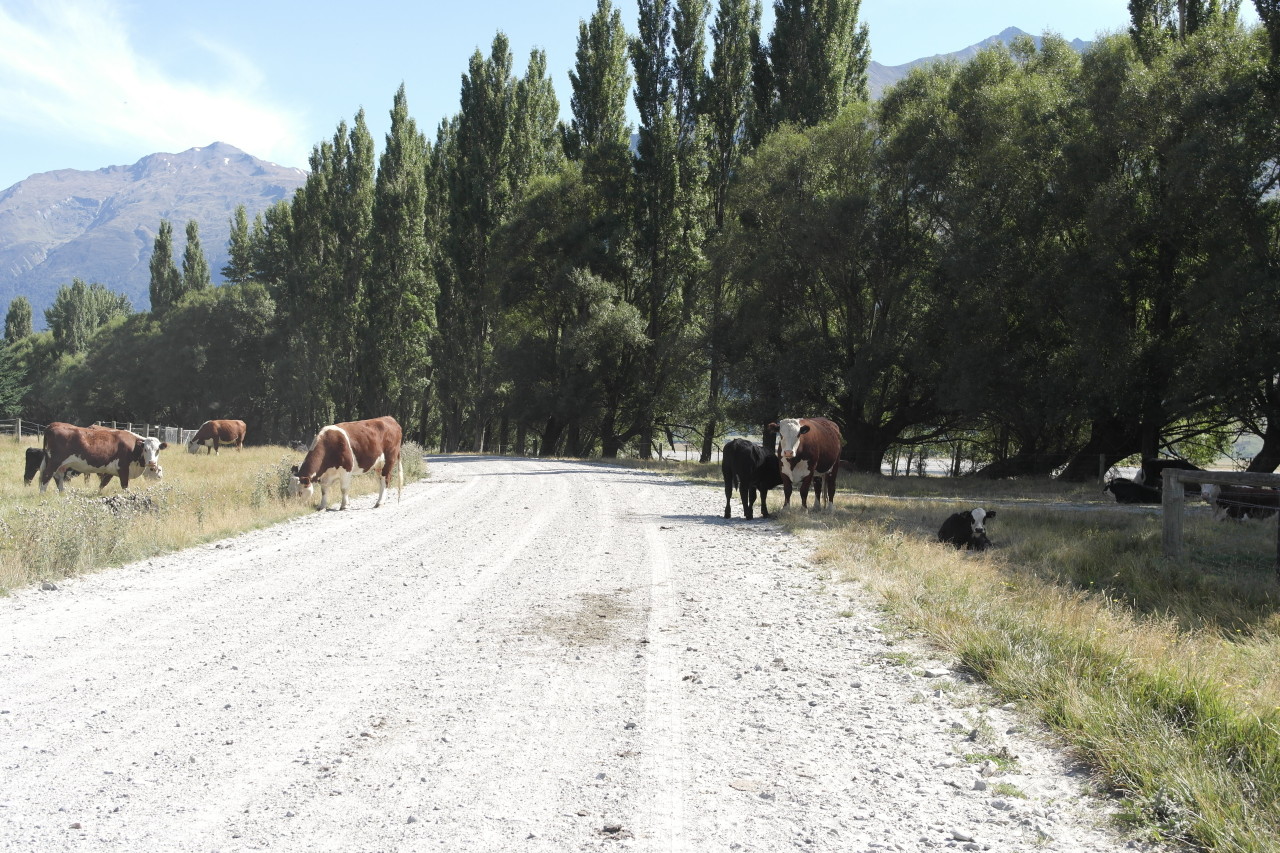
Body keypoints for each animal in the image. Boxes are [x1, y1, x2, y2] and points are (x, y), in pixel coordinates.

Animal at [39, 420, 168, 491]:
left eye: (157, 450)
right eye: (145, 449)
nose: (152, 463)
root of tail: (53, 425)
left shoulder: (110, 471)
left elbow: (102, 485)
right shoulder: (123, 469)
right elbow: (124, 487)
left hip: (62, 465)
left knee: (58, 478)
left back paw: (62, 494)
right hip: (54, 462)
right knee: (46, 476)